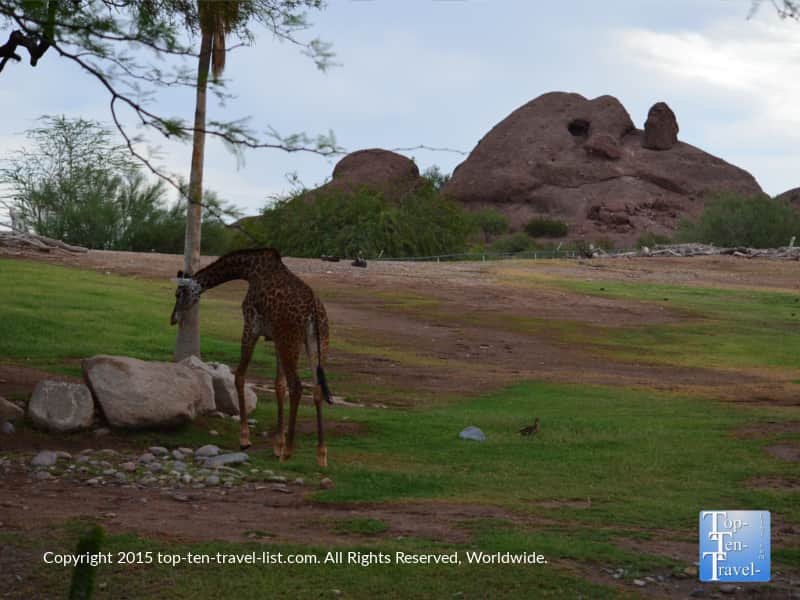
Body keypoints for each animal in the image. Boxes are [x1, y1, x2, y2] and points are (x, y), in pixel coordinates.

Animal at [170, 247, 332, 467]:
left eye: (178, 294)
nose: (173, 319)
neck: (248, 270)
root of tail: (313, 309)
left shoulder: (251, 325)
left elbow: (240, 376)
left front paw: (245, 439)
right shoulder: (274, 337)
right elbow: (279, 386)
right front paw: (277, 445)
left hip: (290, 340)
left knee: (297, 386)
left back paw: (289, 452)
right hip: (316, 343)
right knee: (316, 388)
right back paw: (321, 455)